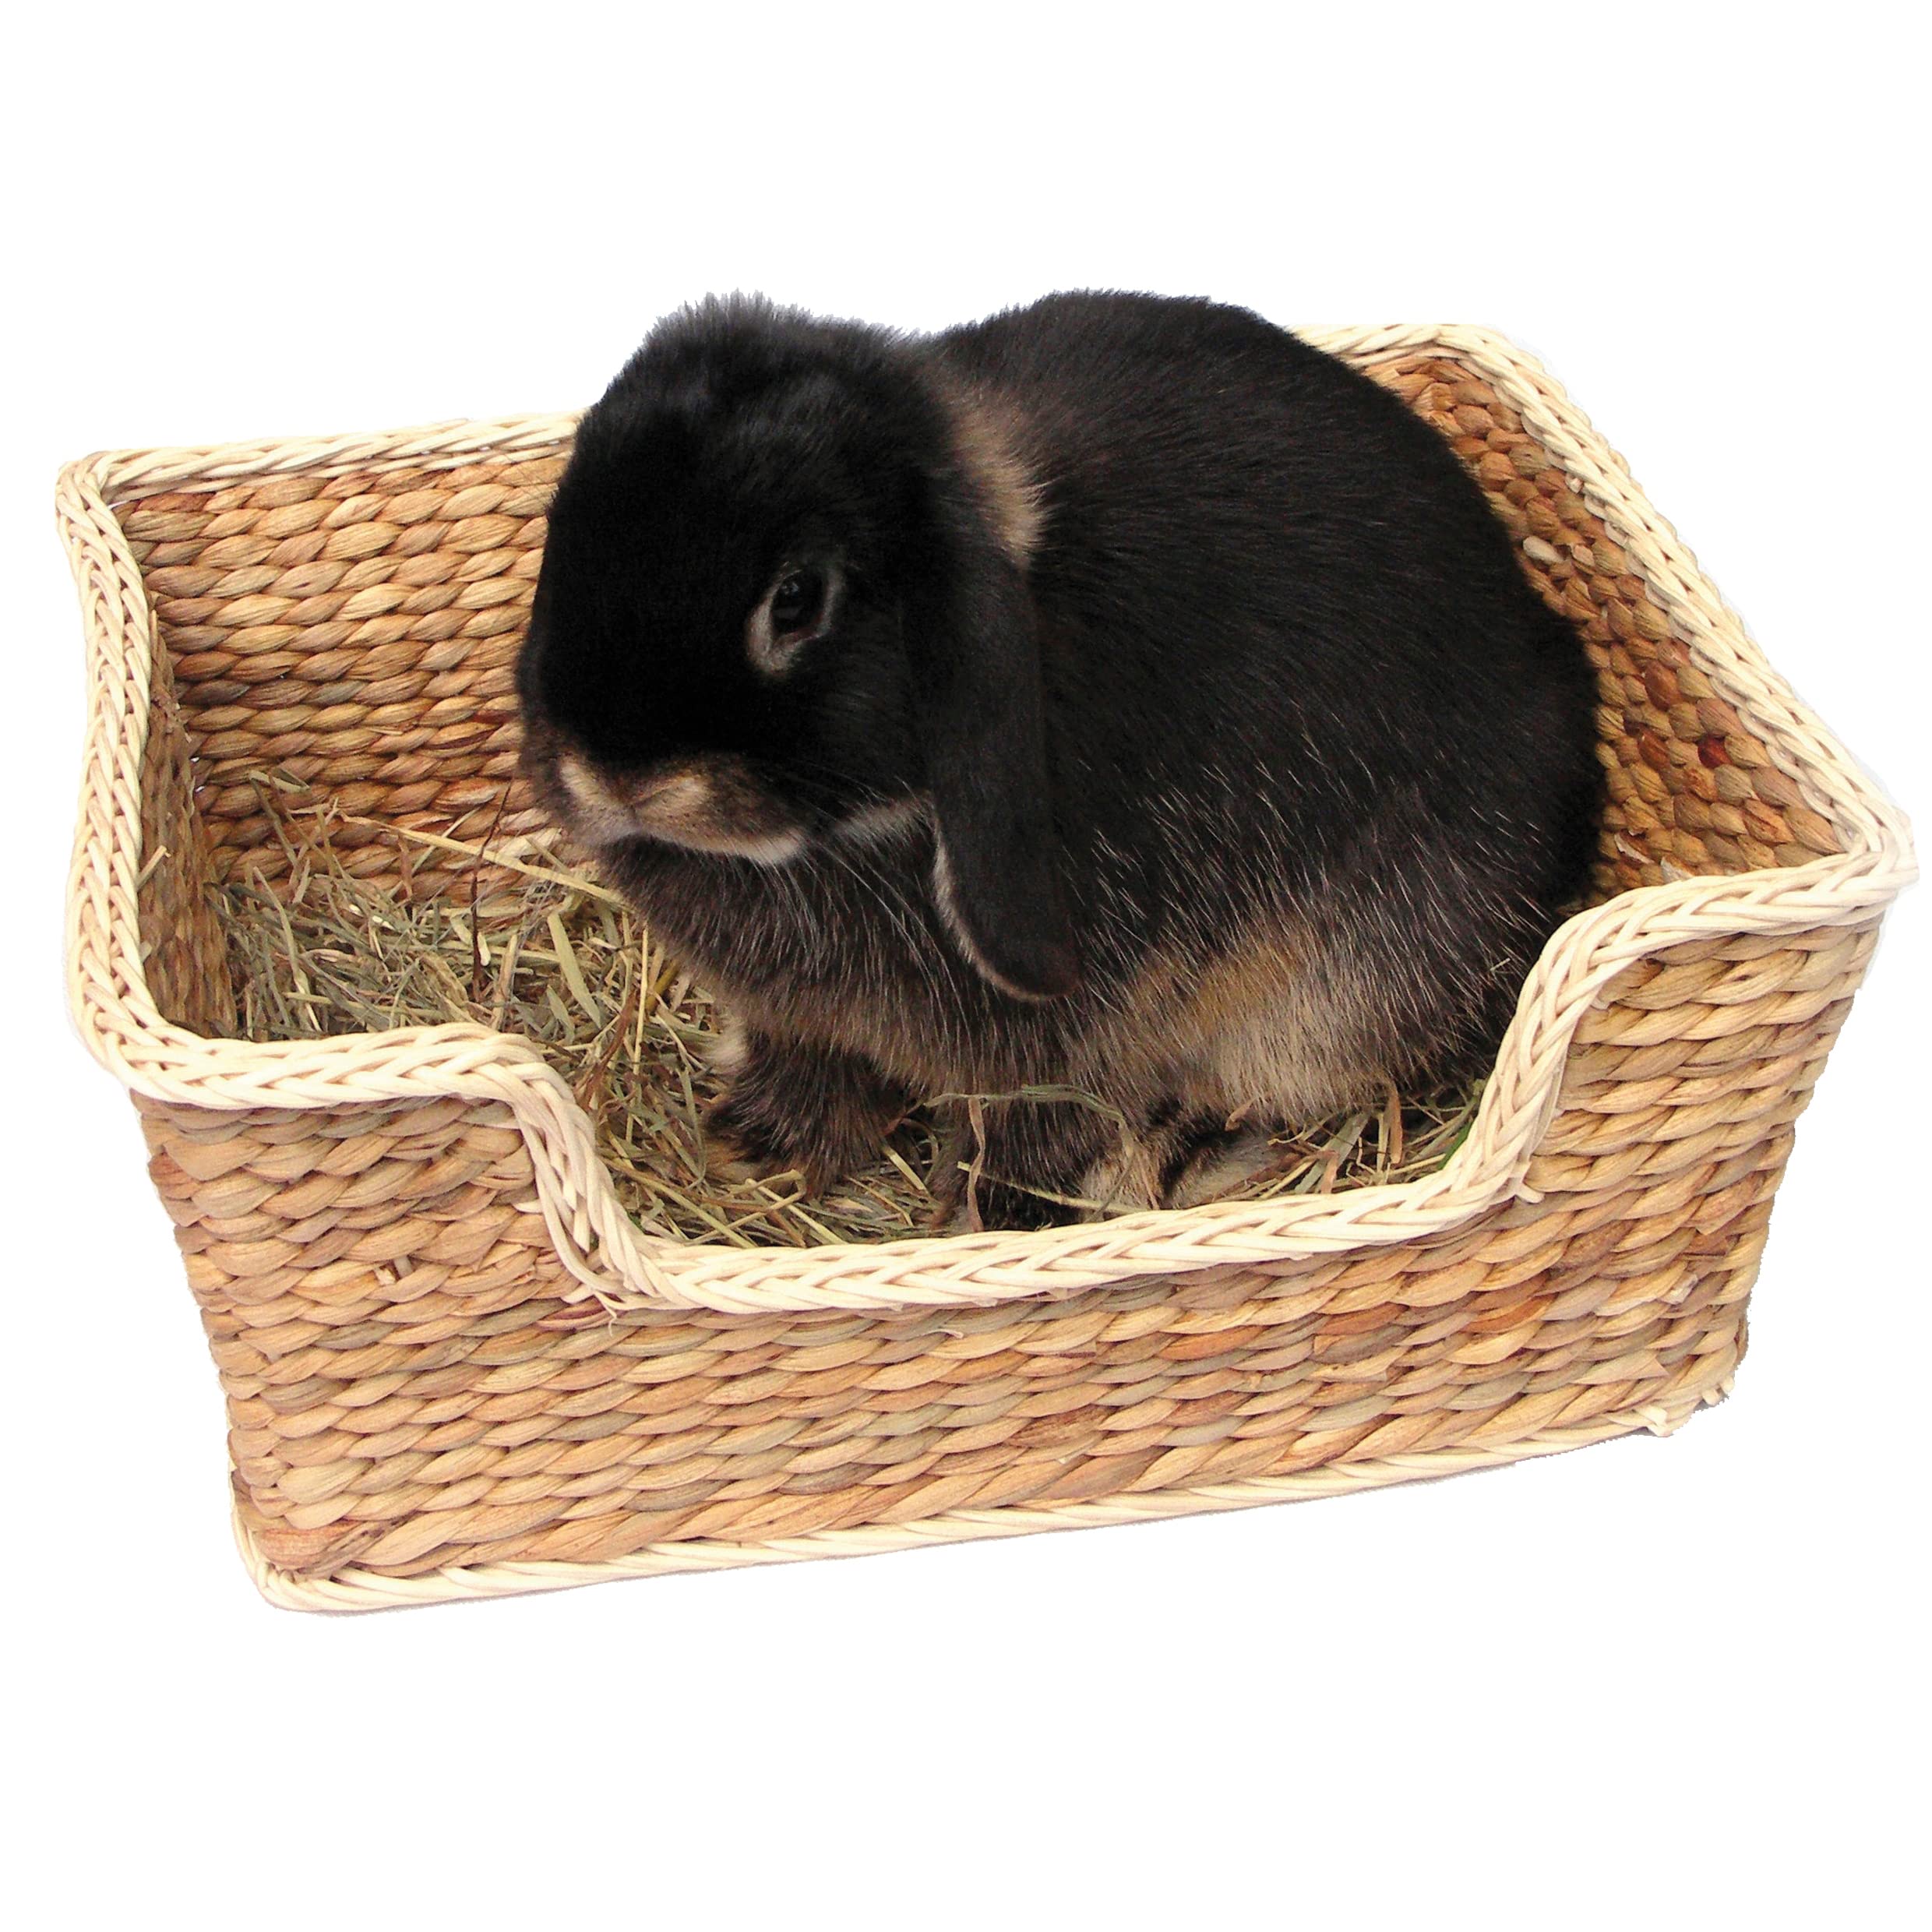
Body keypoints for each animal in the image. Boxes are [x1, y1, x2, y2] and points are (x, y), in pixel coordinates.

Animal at [515, 292, 1604, 1230]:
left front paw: (989, 1214)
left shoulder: (1090, 1025)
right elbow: (816, 1065)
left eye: (795, 598)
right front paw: (756, 1152)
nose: (617, 779)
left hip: (1350, 984)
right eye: (563, 531)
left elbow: (1044, 1113)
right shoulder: (803, 1018)